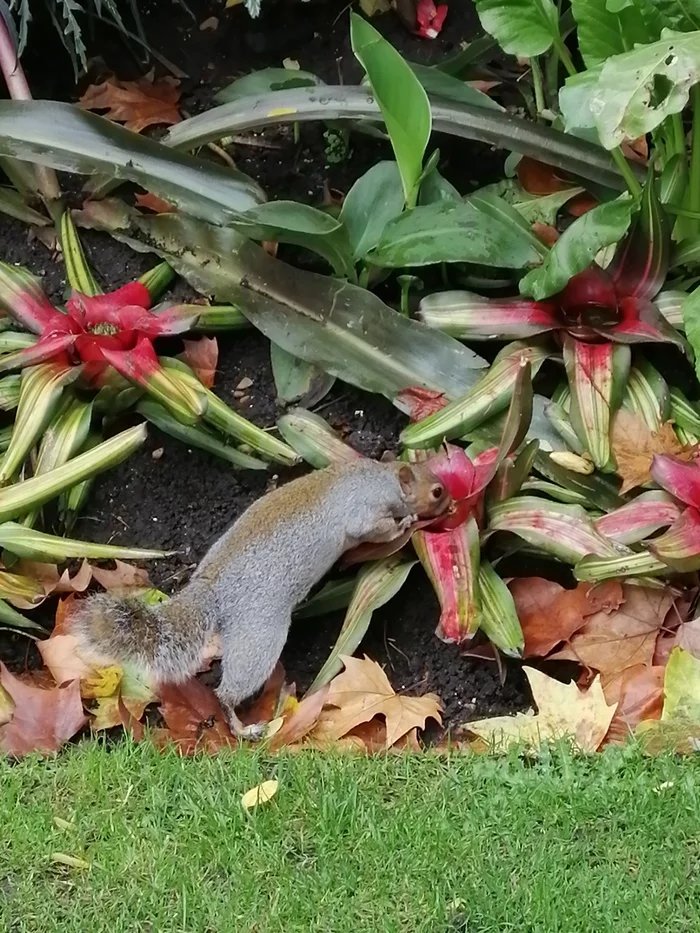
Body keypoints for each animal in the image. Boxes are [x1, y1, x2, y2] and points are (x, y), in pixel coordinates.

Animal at [71, 456, 452, 740]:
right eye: (436, 491)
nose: (452, 503)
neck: (380, 476)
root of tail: (213, 592)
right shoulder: (364, 511)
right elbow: (376, 530)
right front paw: (408, 522)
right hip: (259, 636)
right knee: (228, 692)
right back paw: (244, 727)